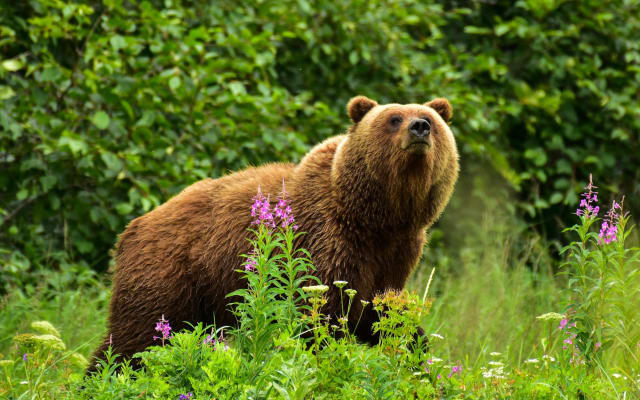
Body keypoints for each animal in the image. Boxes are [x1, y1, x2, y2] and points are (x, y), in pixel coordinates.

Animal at [88, 95, 459, 372]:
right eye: (394, 118)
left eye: (430, 118)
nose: (420, 127)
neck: (376, 217)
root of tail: (134, 226)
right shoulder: (327, 242)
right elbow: (319, 317)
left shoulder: (396, 253)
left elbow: (380, 310)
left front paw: (416, 348)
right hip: (170, 271)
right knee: (135, 338)